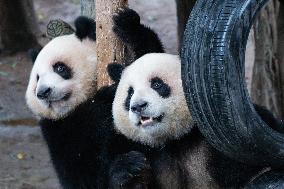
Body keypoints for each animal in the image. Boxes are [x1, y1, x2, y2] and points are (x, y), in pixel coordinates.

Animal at [108, 7, 284, 189]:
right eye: (130, 93)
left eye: (157, 84)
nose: (138, 106)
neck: (174, 141)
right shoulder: (133, 146)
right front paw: (129, 169)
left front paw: (129, 23)